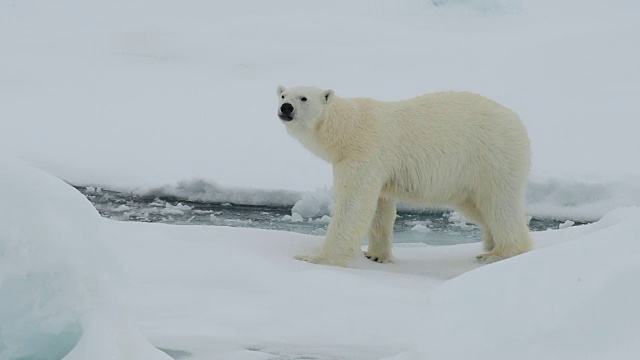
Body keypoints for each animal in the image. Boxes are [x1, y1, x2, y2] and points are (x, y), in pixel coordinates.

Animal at [276, 83, 528, 264]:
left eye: (303, 98)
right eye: (283, 95)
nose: (285, 108)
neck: (347, 130)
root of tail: (518, 123)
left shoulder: (363, 153)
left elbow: (354, 204)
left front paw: (316, 258)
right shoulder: (377, 167)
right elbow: (380, 207)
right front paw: (375, 255)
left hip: (492, 157)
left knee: (499, 203)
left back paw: (500, 252)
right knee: (478, 206)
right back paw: (491, 244)